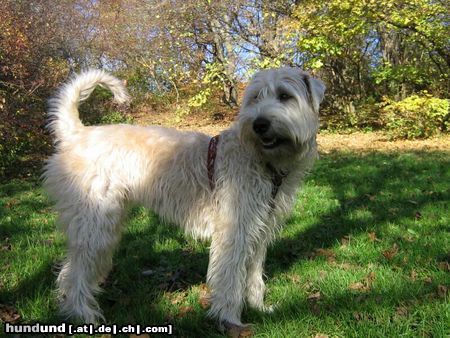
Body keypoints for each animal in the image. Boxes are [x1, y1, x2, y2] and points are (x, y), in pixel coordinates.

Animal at [42, 67, 326, 328]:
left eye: (285, 95)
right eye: (256, 97)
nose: (259, 124)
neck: (262, 161)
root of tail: (76, 133)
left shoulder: (259, 231)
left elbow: (253, 274)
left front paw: (259, 307)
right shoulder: (234, 231)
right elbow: (230, 276)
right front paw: (230, 320)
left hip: (102, 227)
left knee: (73, 269)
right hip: (95, 225)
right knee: (75, 272)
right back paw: (83, 315)